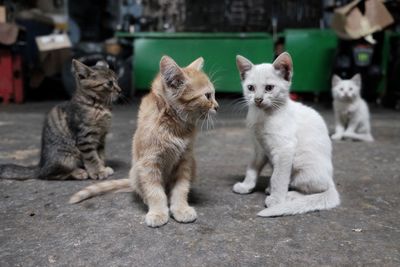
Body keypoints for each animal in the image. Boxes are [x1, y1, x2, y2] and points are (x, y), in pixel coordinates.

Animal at [69, 56, 219, 228]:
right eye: (207, 96)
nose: (217, 106)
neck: (174, 126)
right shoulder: (148, 163)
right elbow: (155, 191)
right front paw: (158, 212)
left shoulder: (185, 160)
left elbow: (181, 188)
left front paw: (181, 208)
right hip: (136, 171)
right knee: (142, 191)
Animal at [233, 52, 340, 218]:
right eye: (250, 88)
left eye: (269, 88)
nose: (257, 99)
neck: (262, 116)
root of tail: (331, 180)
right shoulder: (259, 149)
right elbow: (252, 168)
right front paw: (246, 186)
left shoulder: (285, 149)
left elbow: (279, 178)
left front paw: (277, 200)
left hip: (302, 164)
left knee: (315, 190)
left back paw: (289, 196)